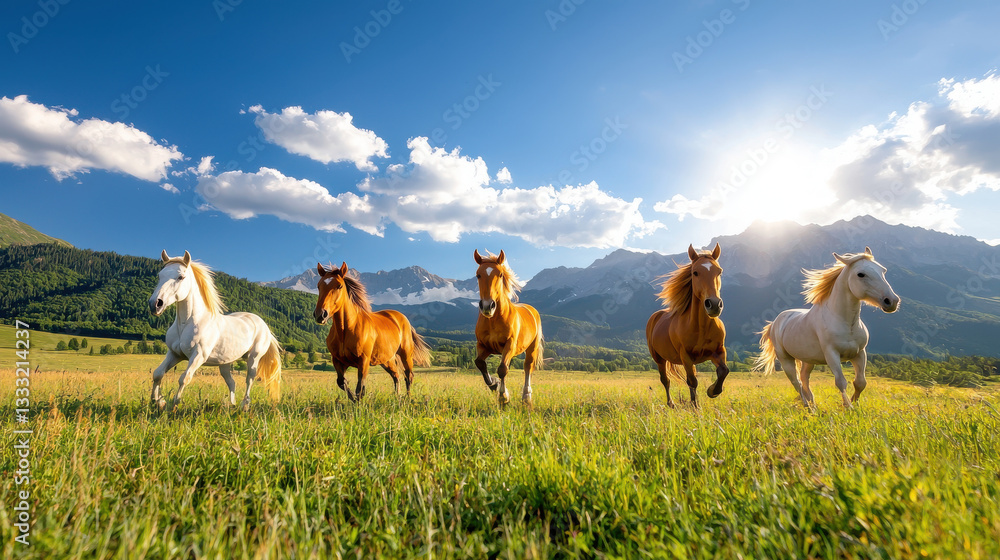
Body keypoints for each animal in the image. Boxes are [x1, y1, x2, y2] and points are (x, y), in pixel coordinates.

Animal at [148, 250, 282, 411]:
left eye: (181, 277)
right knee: (231, 382)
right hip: (225, 362)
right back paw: (231, 405)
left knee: (249, 379)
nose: (155, 304)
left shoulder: (198, 356)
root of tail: (262, 324)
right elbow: (158, 373)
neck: (186, 324)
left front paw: (174, 406)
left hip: (253, 358)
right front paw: (157, 402)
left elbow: (184, 378)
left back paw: (245, 406)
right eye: (160, 275)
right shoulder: (174, 354)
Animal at [313, 262, 431, 402]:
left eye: (339, 286)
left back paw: (407, 398)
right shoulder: (338, 361)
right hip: (387, 360)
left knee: (408, 376)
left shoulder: (363, 361)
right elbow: (342, 382)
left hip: (406, 355)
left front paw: (359, 402)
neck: (345, 331)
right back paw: (397, 397)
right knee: (396, 375)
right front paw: (355, 400)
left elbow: (359, 387)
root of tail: (402, 318)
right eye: (318, 286)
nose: (320, 315)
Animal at [473, 249, 544, 408]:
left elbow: (502, 369)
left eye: (500, 274)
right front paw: (494, 384)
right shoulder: (483, 345)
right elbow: (480, 363)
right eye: (478, 274)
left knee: (527, 367)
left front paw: (503, 397)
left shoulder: (509, 345)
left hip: (532, 347)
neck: (493, 319)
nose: (487, 306)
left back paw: (526, 397)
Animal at [645, 243, 729, 408]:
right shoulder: (686, 356)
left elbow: (723, 371)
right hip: (659, 359)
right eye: (695, 272)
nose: (714, 304)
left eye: (719, 271)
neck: (701, 328)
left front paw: (712, 391)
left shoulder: (719, 351)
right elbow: (692, 381)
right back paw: (671, 403)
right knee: (666, 381)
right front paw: (696, 406)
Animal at [754, 247, 900, 408]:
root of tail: (775, 323)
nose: (891, 301)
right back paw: (807, 406)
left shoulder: (859, 353)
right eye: (861, 274)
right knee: (797, 383)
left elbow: (860, 382)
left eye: (883, 270)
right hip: (786, 359)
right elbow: (841, 382)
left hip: (808, 360)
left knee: (804, 379)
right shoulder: (832, 354)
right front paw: (848, 407)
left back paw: (813, 405)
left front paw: (854, 403)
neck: (846, 323)